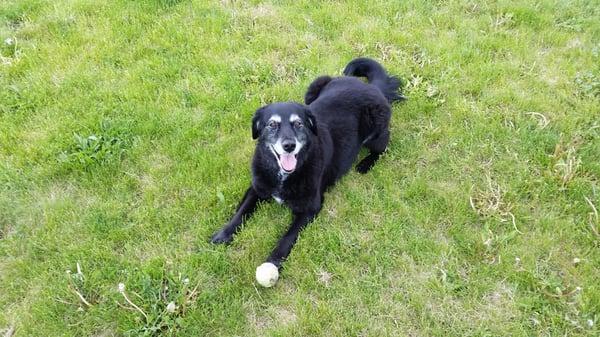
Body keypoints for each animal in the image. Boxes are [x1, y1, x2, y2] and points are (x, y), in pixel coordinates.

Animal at [211, 57, 404, 272]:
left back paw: (366, 163)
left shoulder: (310, 208)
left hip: (376, 130)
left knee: (383, 146)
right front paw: (224, 233)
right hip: (313, 88)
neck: (283, 175)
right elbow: (242, 212)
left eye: (298, 123)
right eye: (272, 124)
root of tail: (371, 87)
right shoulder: (257, 188)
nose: (289, 145)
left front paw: (274, 261)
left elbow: (288, 237)